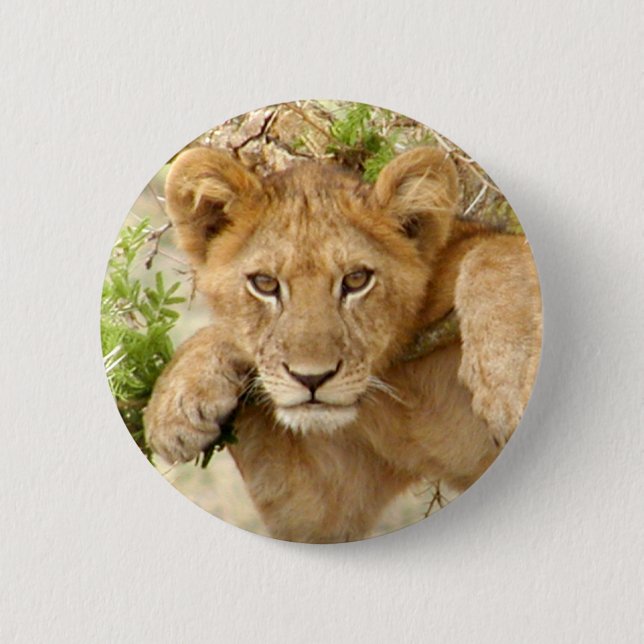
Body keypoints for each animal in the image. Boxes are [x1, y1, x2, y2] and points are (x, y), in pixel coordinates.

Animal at [143, 146, 542, 543]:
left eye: (356, 279)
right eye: (265, 283)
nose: (312, 379)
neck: (401, 387)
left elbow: (496, 251)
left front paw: (509, 382)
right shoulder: (324, 493)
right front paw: (176, 401)